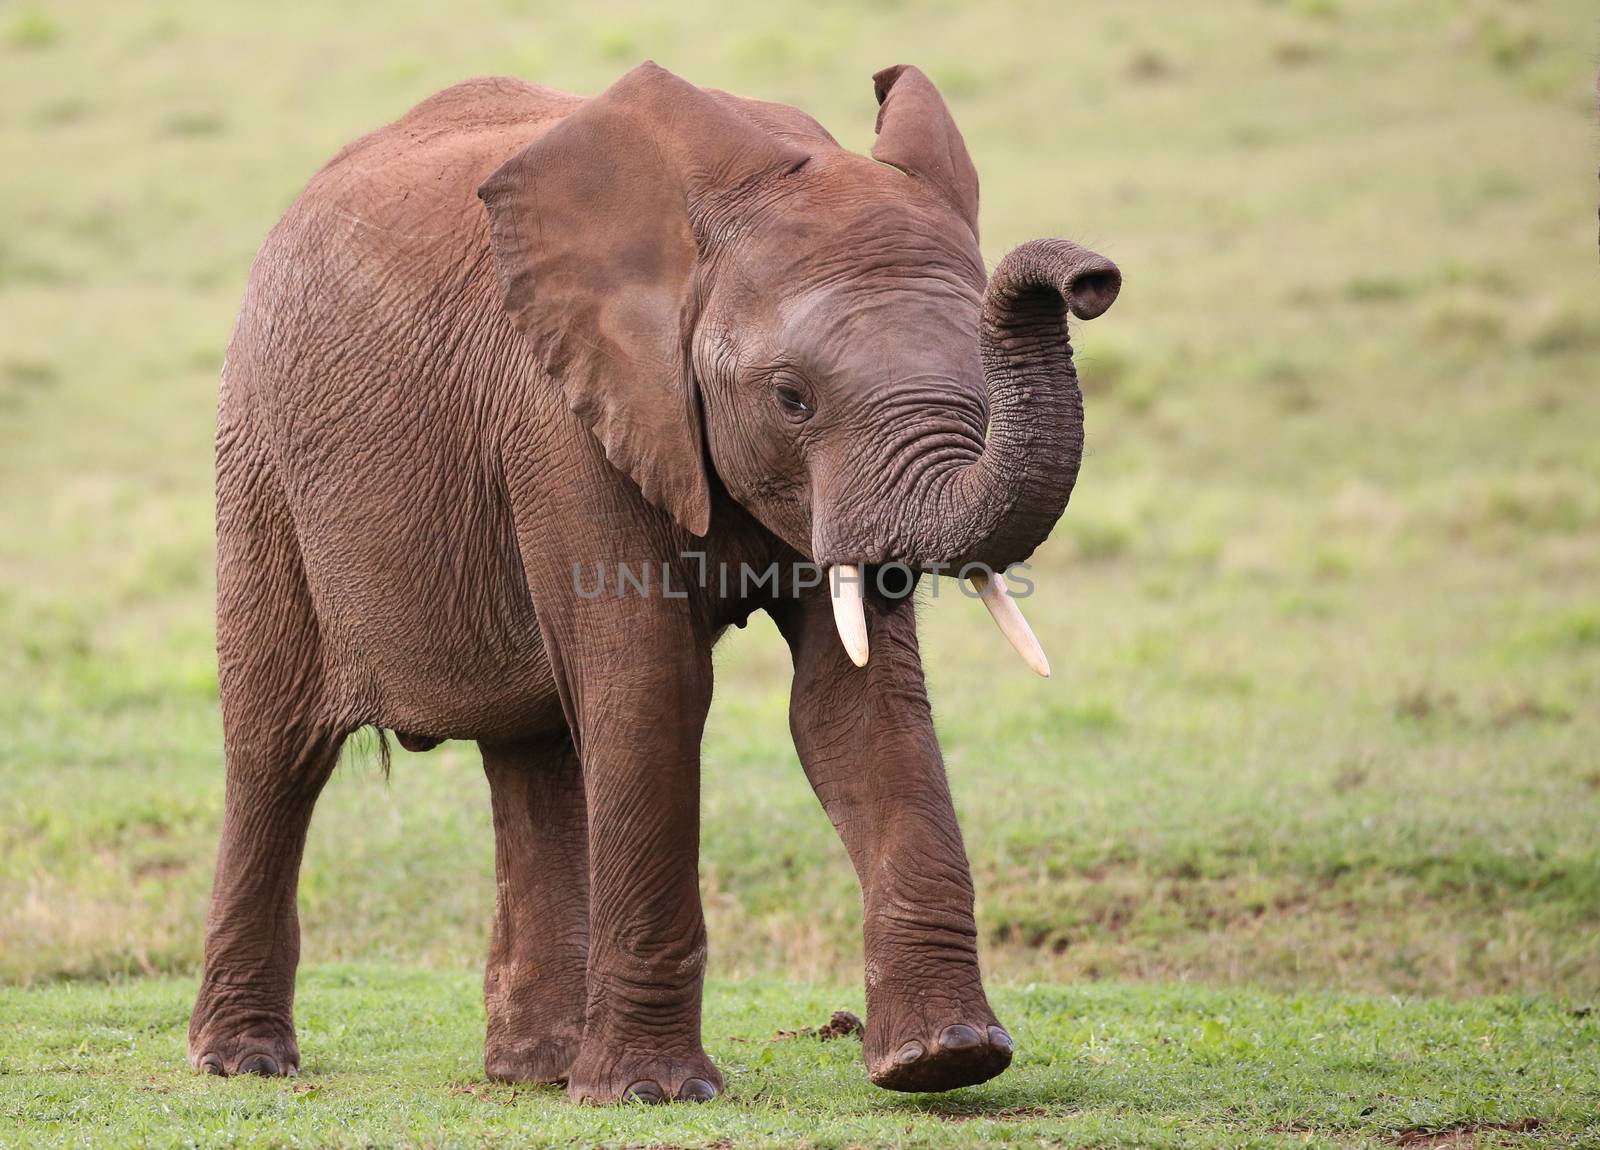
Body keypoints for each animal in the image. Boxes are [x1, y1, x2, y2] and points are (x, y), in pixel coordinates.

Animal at [187, 58, 1120, 1100]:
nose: (1091, 280)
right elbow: (654, 686)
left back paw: (538, 1070)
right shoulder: (564, 413)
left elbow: (856, 702)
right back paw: (243, 1061)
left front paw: (945, 1061)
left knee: (536, 751)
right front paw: (654, 1092)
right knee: (275, 752)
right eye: (791, 398)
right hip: (259, 459)